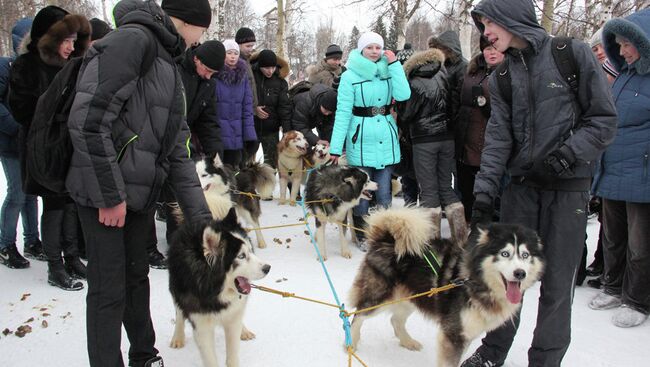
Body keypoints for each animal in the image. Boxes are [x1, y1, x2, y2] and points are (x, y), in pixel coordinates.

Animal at [170, 210, 270, 367]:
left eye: (251, 250)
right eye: (241, 256)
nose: (268, 268)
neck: (214, 291)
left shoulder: (232, 318)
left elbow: (233, 354)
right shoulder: (201, 325)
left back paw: (244, 330)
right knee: (179, 312)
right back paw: (178, 337)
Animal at [350, 208, 540, 366]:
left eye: (525, 255)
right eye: (505, 254)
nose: (520, 273)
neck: (477, 281)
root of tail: (386, 239)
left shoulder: (465, 333)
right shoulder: (453, 334)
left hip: (412, 296)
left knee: (395, 320)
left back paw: (408, 342)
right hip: (380, 297)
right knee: (357, 315)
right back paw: (350, 344)